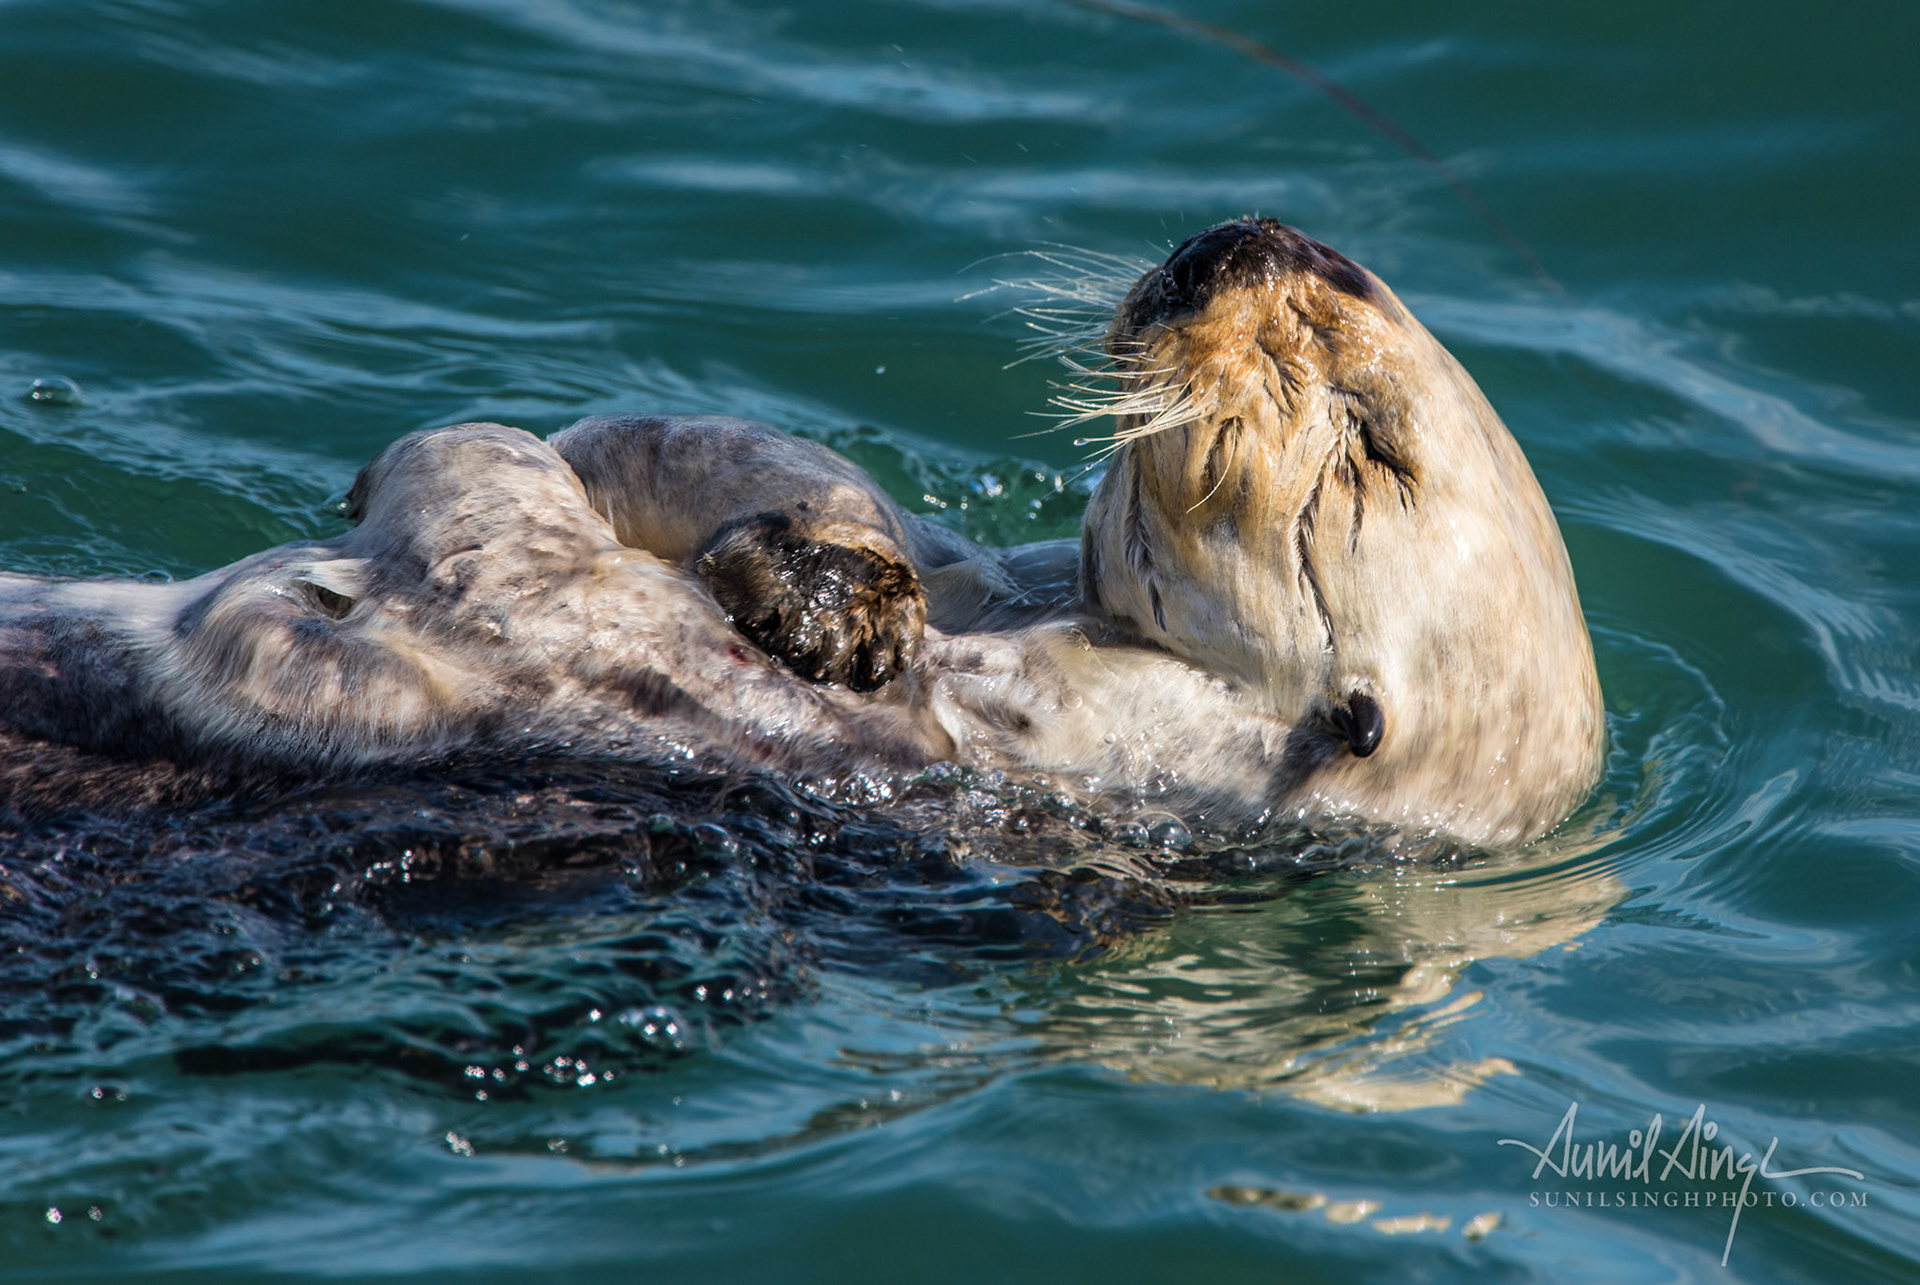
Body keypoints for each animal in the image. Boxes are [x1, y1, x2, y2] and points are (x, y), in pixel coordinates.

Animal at [0, 220, 1604, 845]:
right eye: (1338, 269)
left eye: (1373, 448)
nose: (1239, 243)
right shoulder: (985, 579)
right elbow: (692, 444)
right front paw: (824, 563)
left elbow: (512, 546)